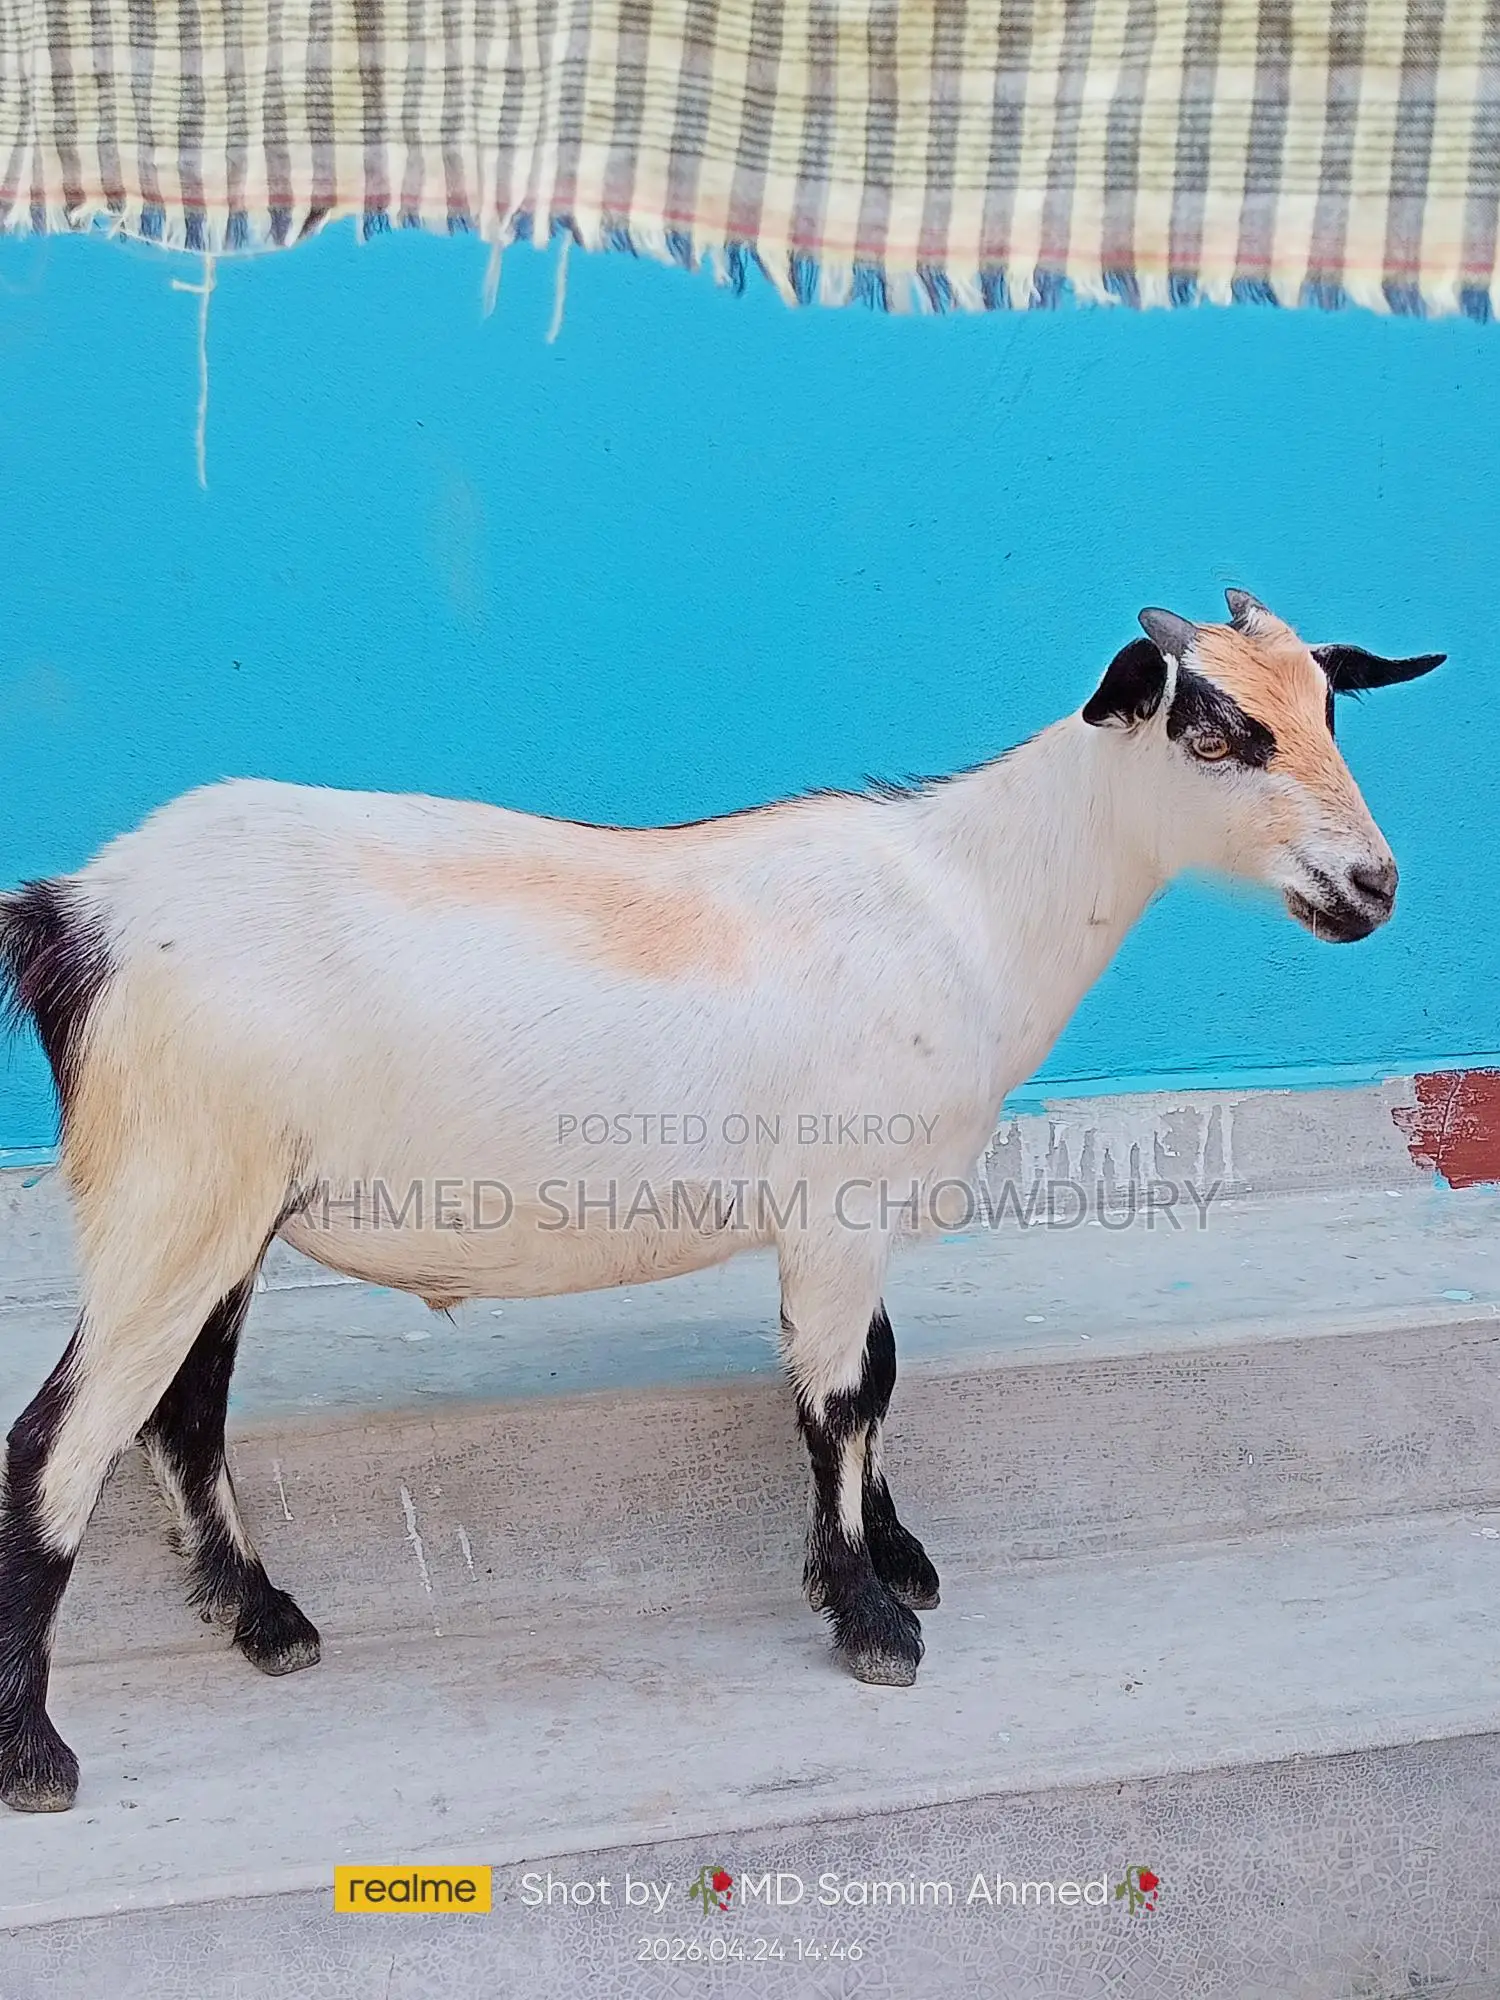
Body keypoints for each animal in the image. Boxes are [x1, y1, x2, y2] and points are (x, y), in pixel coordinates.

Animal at [0, 591, 1443, 1811]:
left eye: (1331, 709)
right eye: (1219, 730)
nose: (1373, 888)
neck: (976, 901)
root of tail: (75, 911)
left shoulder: (859, 1209)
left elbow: (878, 1371)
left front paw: (897, 1556)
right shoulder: (836, 1203)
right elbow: (839, 1397)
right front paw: (871, 1620)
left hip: (226, 1207)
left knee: (182, 1410)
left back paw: (260, 1617)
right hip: (169, 1187)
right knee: (59, 1438)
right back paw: (38, 1750)